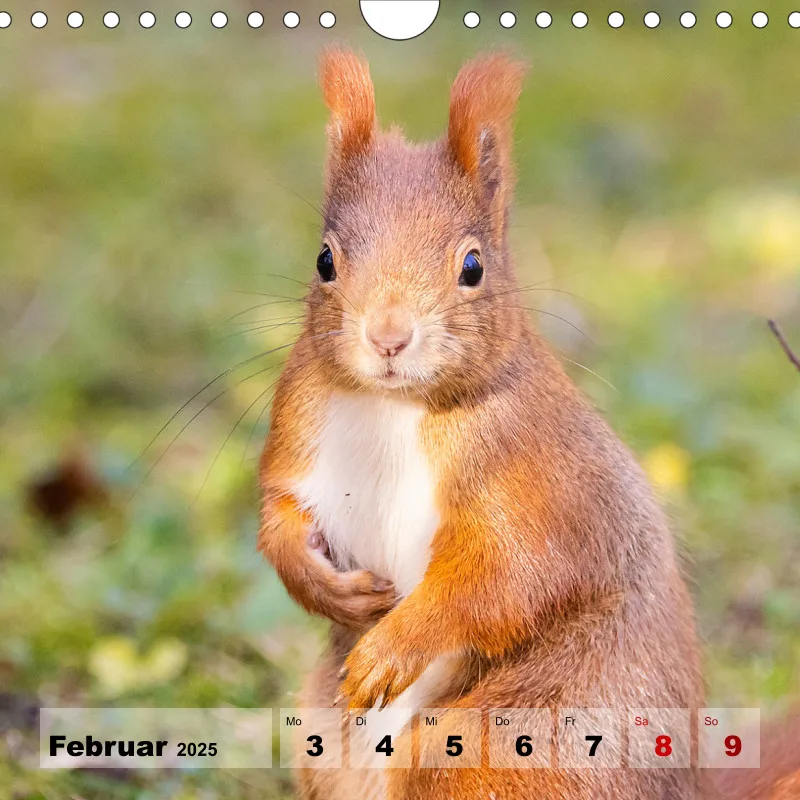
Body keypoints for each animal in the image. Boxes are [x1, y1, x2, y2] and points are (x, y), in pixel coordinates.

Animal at [258, 49, 794, 800]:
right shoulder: (300, 424)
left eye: (472, 266)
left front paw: (390, 648)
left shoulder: (535, 480)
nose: (388, 337)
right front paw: (326, 587)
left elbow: (504, 576)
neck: (395, 409)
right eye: (324, 260)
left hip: (513, 746)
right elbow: (277, 516)